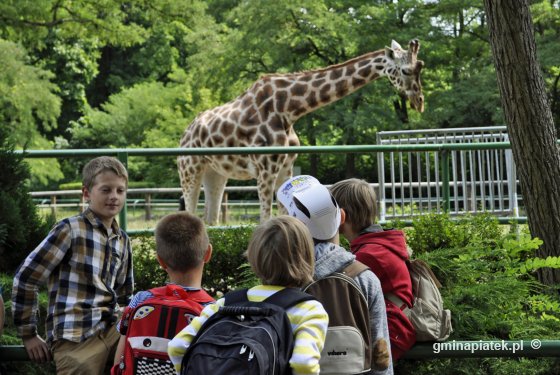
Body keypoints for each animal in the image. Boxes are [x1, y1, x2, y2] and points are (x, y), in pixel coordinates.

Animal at [179, 39, 424, 225]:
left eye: (420, 66)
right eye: (405, 70)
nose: (419, 101)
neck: (288, 109)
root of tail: (185, 134)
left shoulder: (285, 167)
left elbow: (284, 215)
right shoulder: (265, 168)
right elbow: (265, 218)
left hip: (215, 174)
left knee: (209, 221)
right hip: (189, 170)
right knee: (189, 211)